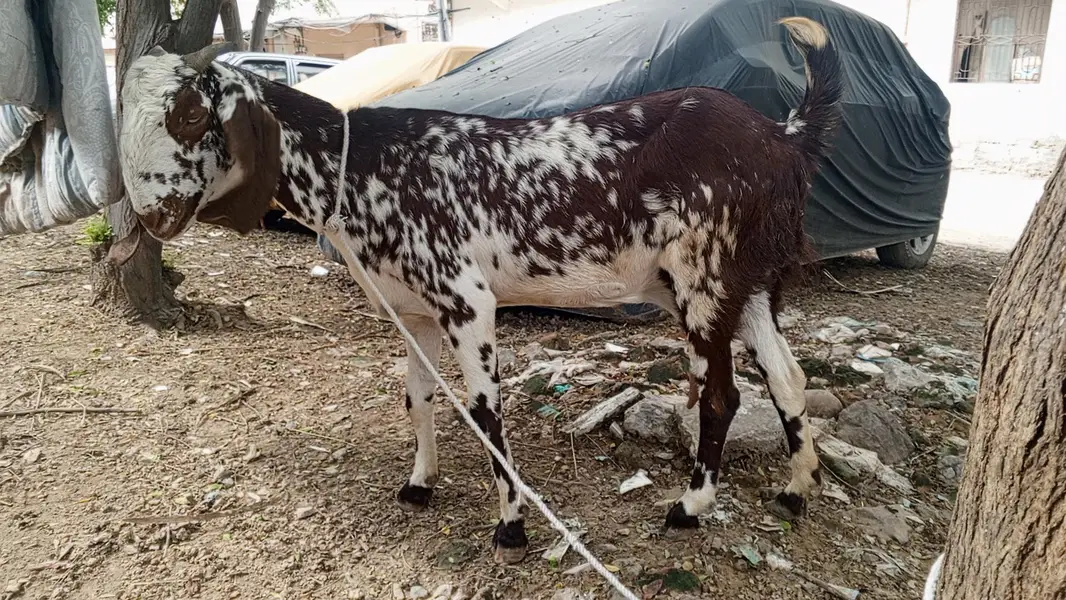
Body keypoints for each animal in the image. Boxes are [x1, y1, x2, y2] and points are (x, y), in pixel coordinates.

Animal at [118, 17, 844, 564]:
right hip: (748, 283)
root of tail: (782, 137)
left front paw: (511, 525)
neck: (361, 165)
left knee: (723, 396)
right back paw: (796, 489)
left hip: (703, 276)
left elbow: (485, 411)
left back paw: (690, 506)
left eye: (191, 113)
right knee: (788, 378)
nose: (152, 216)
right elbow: (417, 396)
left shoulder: (467, 300)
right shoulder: (413, 310)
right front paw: (419, 484)